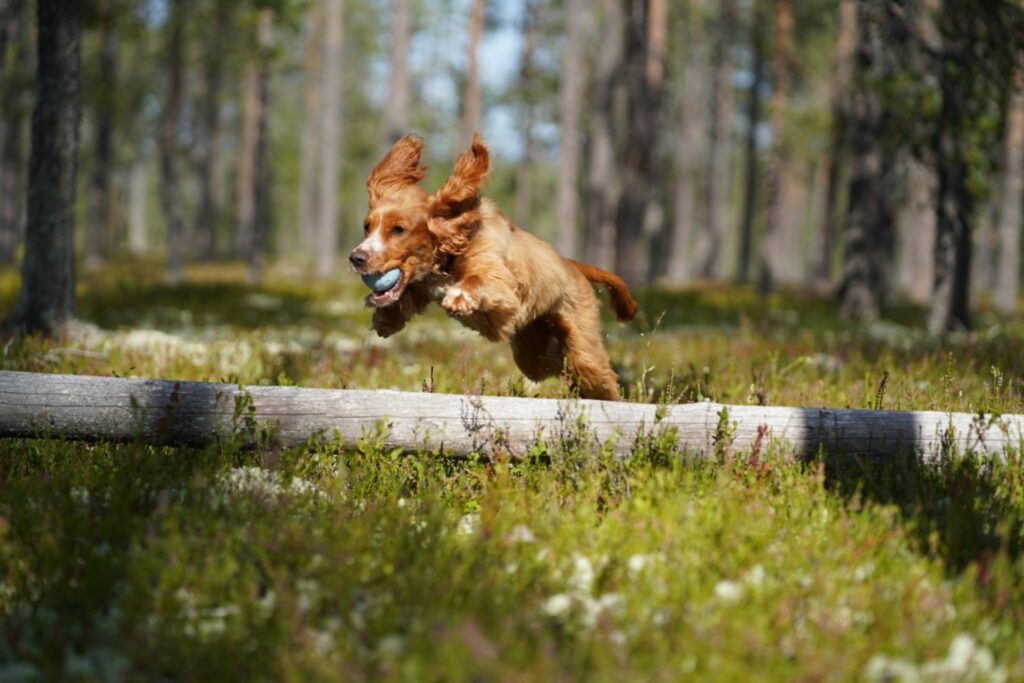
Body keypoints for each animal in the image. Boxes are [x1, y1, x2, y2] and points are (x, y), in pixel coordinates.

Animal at [348, 133, 634, 401]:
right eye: (367, 226)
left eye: (398, 229)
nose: (356, 258)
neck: (451, 253)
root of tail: (569, 263)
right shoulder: (423, 284)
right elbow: (405, 296)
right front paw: (385, 319)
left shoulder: (502, 286)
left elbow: (478, 282)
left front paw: (459, 296)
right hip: (532, 349)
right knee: (553, 363)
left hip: (581, 342)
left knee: (595, 372)